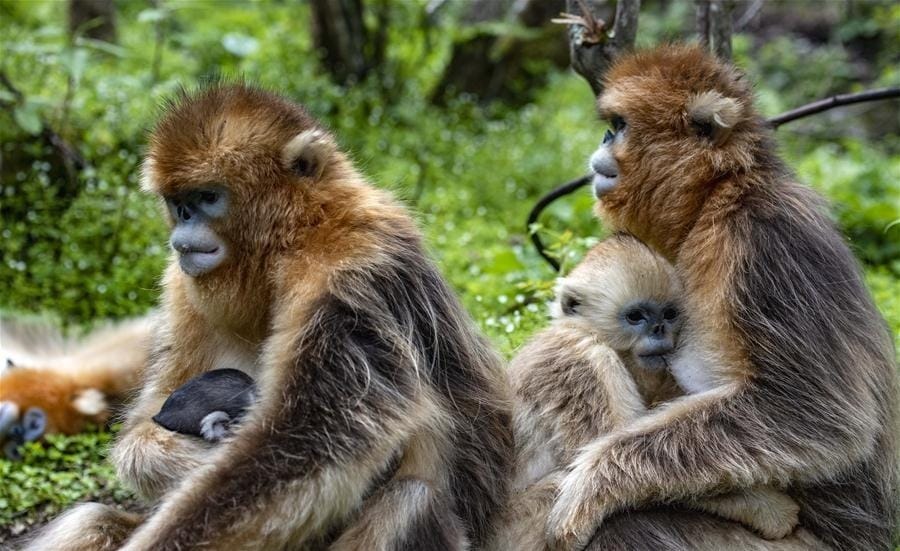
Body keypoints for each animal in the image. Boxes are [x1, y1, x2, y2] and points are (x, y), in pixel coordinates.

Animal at [25, 83, 513, 551]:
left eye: (207, 198)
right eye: (178, 204)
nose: (183, 233)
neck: (294, 238)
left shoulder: (349, 266)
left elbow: (311, 440)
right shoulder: (182, 285)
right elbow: (146, 422)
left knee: (407, 500)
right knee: (92, 520)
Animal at [487, 234, 809, 550]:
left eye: (668, 314)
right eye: (635, 316)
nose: (658, 329)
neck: (587, 332)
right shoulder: (585, 361)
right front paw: (768, 509)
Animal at [543, 44, 898, 551]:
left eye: (621, 125)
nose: (605, 141)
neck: (717, 196)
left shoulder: (762, 240)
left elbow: (816, 418)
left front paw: (589, 484)